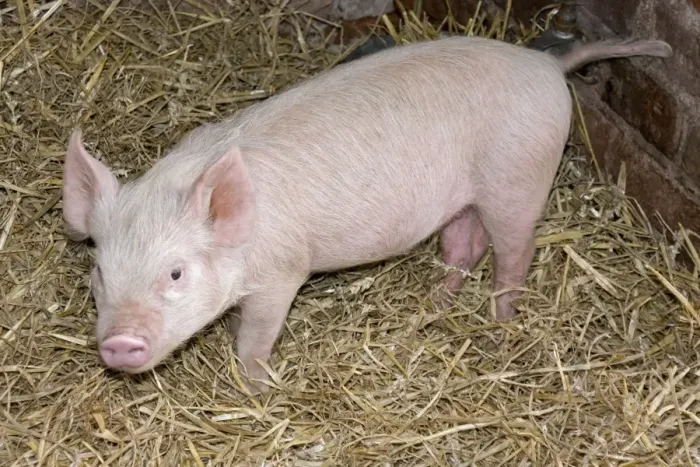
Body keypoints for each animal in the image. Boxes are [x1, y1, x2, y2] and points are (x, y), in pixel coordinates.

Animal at [62, 35, 672, 393]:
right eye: (100, 273)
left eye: (175, 273)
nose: (118, 344)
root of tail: (547, 62)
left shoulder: (284, 272)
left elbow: (254, 339)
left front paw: (258, 389)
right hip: (465, 194)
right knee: (464, 245)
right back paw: (435, 304)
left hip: (519, 180)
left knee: (515, 253)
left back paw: (501, 322)